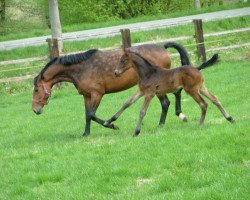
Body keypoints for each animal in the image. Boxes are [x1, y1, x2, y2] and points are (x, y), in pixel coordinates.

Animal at [32, 42, 190, 136]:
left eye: (36, 90)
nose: (35, 110)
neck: (81, 68)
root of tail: (163, 47)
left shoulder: (97, 94)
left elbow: (92, 114)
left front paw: (112, 125)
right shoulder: (86, 96)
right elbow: (87, 115)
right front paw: (86, 134)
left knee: (168, 100)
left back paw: (170, 120)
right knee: (170, 99)